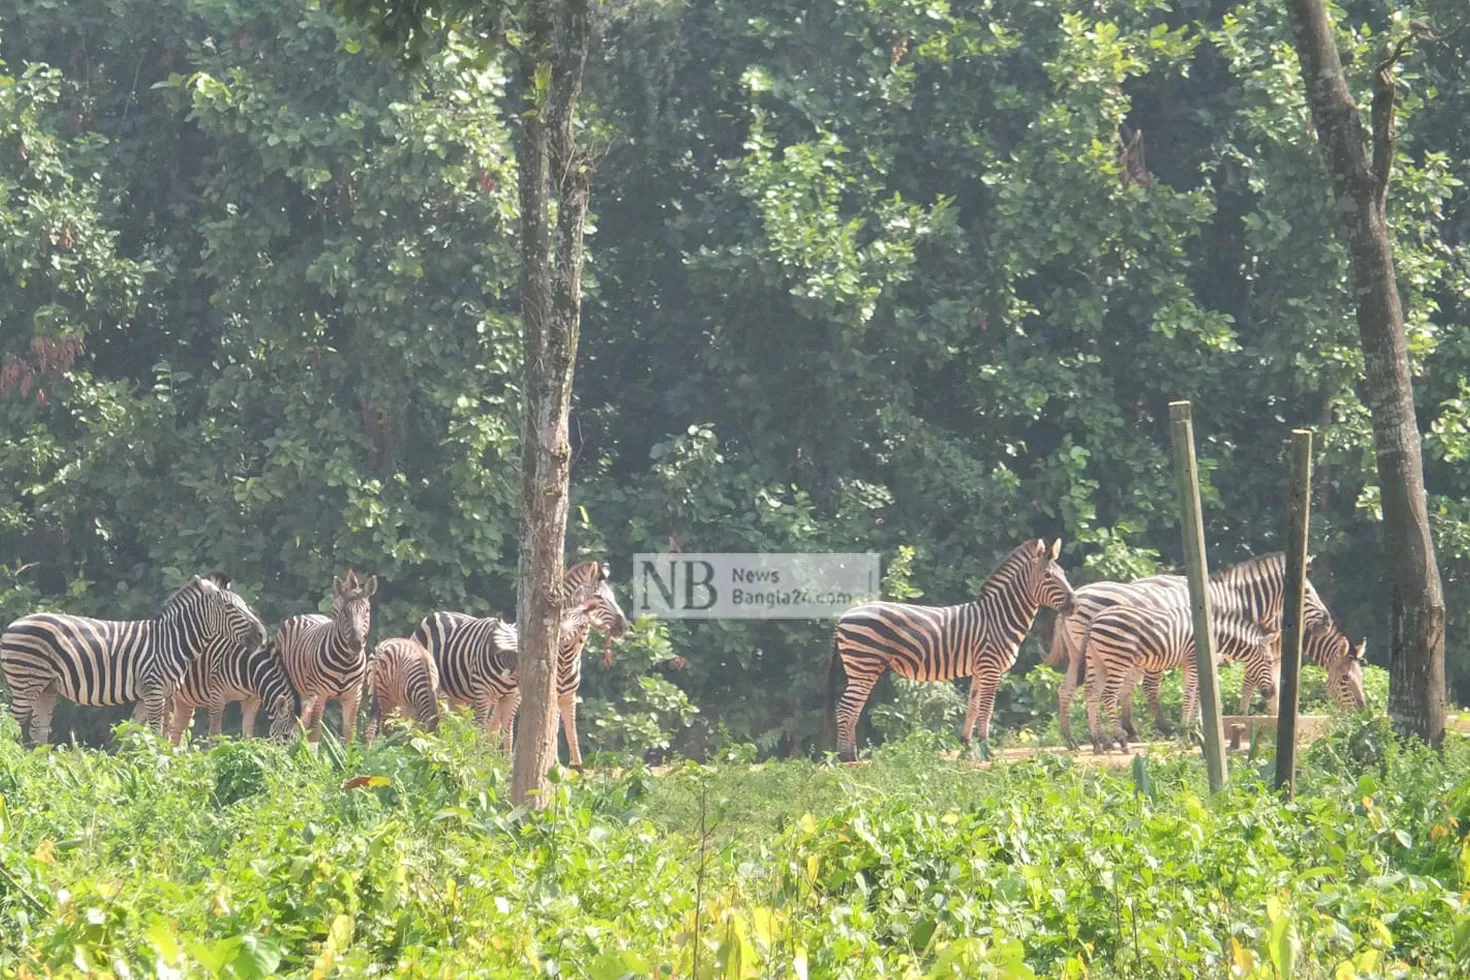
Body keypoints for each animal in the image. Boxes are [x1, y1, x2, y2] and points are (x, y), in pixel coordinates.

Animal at [0, 570, 267, 746]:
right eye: (231, 609)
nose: (262, 635)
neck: (171, 641)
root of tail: (13, 624)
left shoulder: (153, 694)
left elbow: (137, 733)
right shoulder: (155, 691)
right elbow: (156, 734)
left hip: (46, 688)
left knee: (39, 730)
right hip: (25, 683)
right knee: (12, 725)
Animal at [160, 631, 301, 746]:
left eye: (300, 739)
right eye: (285, 736)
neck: (249, 668)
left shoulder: (253, 700)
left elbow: (247, 734)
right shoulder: (217, 697)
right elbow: (215, 736)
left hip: (184, 700)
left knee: (176, 731)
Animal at [276, 567, 376, 743]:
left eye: (367, 610)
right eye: (344, 612)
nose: (356, 643)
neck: (346, 662)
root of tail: (306, 614)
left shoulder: (354, 695)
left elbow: (350, 732)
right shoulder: (319, 693)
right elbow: (315, 732)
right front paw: (308, 751)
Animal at [823, 540, 1076, 764]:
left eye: (1063, 574)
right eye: (1048, 577)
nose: (1074, 605)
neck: (999, 618)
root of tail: (844, 617)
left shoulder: (979, 669)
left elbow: (973, 707)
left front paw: (967, 748)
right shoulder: (991, 668)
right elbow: (986, 709)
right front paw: (987, 750)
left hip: (862, 668)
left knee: (851, 710)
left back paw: (850, 757)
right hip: (864, 666)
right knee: (846, 710)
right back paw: (848, 759)